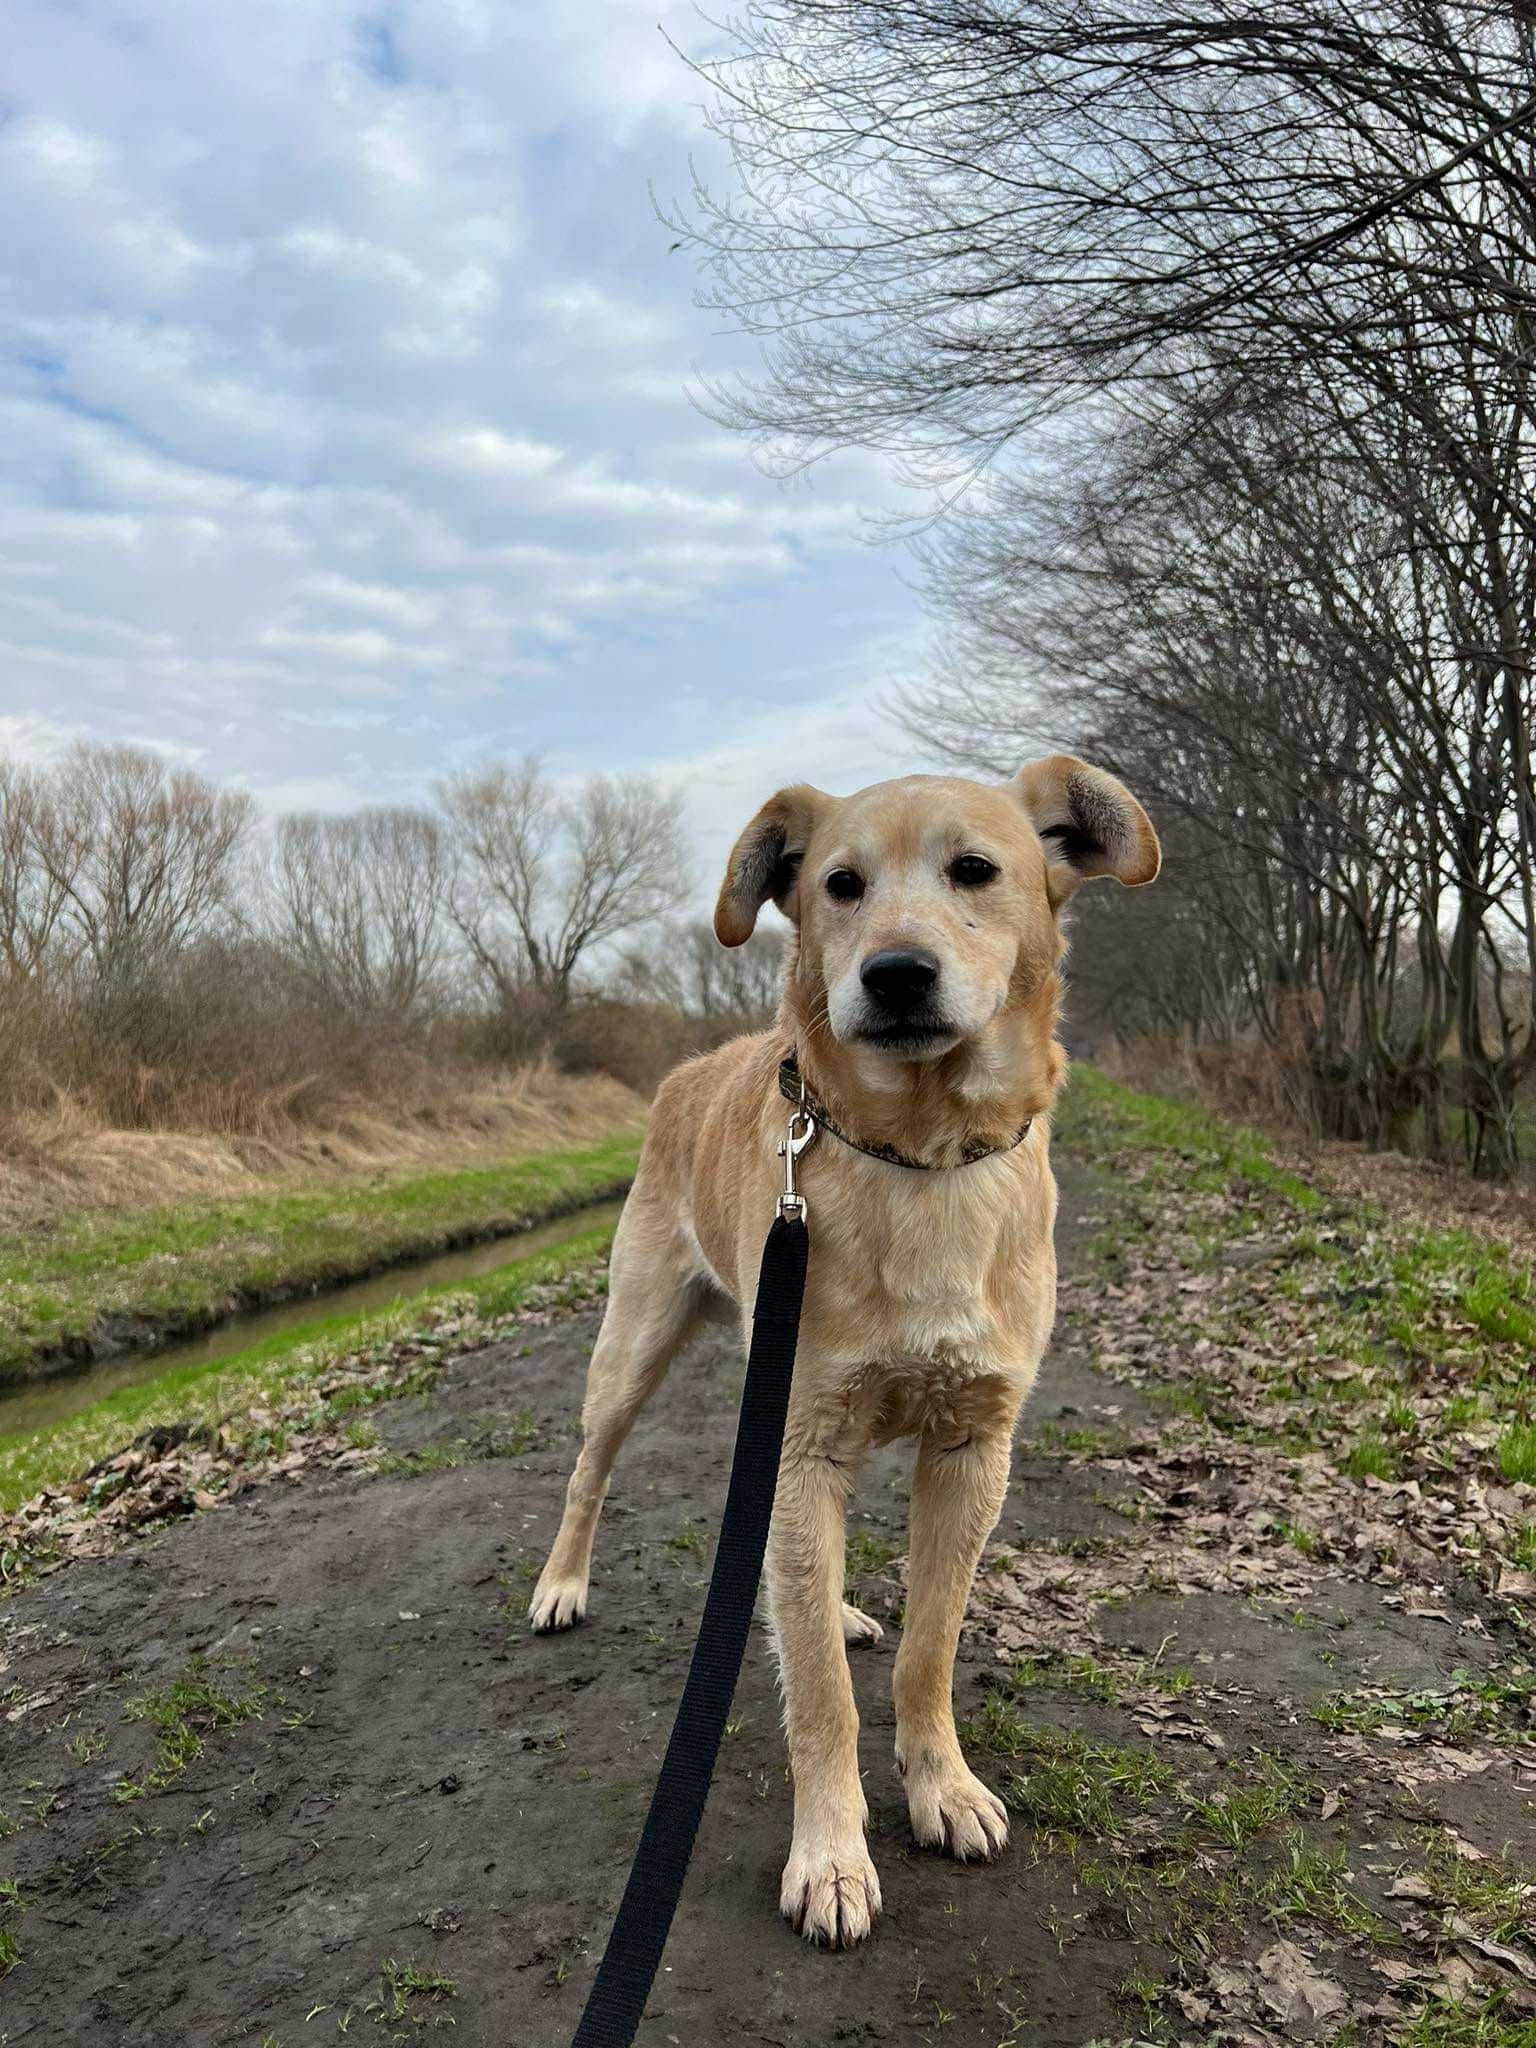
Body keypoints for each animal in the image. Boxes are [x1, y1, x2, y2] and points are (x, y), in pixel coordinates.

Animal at [536, 761, 1163, 1941]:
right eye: (839, 884)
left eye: (977, 868)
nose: (897, 973)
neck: (920, 1157)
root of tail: (687, 1070)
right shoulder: (799, 1443)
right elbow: (821, 1695)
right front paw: (829, 1851)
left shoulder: (969, 1447)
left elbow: (930, 1646)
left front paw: (940, 1783)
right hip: (633, 1351)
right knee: (592, 1472)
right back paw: (562, 1582)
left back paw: (835, 1605)